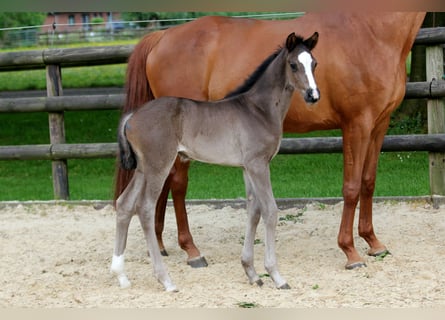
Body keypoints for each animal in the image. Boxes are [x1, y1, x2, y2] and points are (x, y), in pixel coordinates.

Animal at [113, 12, 424, 270]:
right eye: (294, 65)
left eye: (316, 64)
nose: (313, 94)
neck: (370, 33)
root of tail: (163, 36)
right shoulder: (356, 124)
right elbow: (351, 187)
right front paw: (350, 251)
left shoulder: (379, 124)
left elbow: (368, 182)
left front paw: (373, 242)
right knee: (177, 185)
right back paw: (191, 251)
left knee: (162, 184)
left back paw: (160, 244)